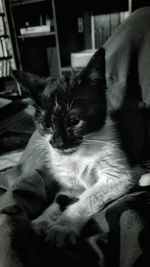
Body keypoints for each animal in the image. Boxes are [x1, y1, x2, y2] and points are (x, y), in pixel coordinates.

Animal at [11, 48, 139, 249]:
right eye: (45, 124)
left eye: (74, 121)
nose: (58, 143)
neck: (79, 154)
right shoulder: (71, 185)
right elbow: (61, 197)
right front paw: (43, 220)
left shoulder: (119, 176)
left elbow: (88, 196)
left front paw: (63, 225)